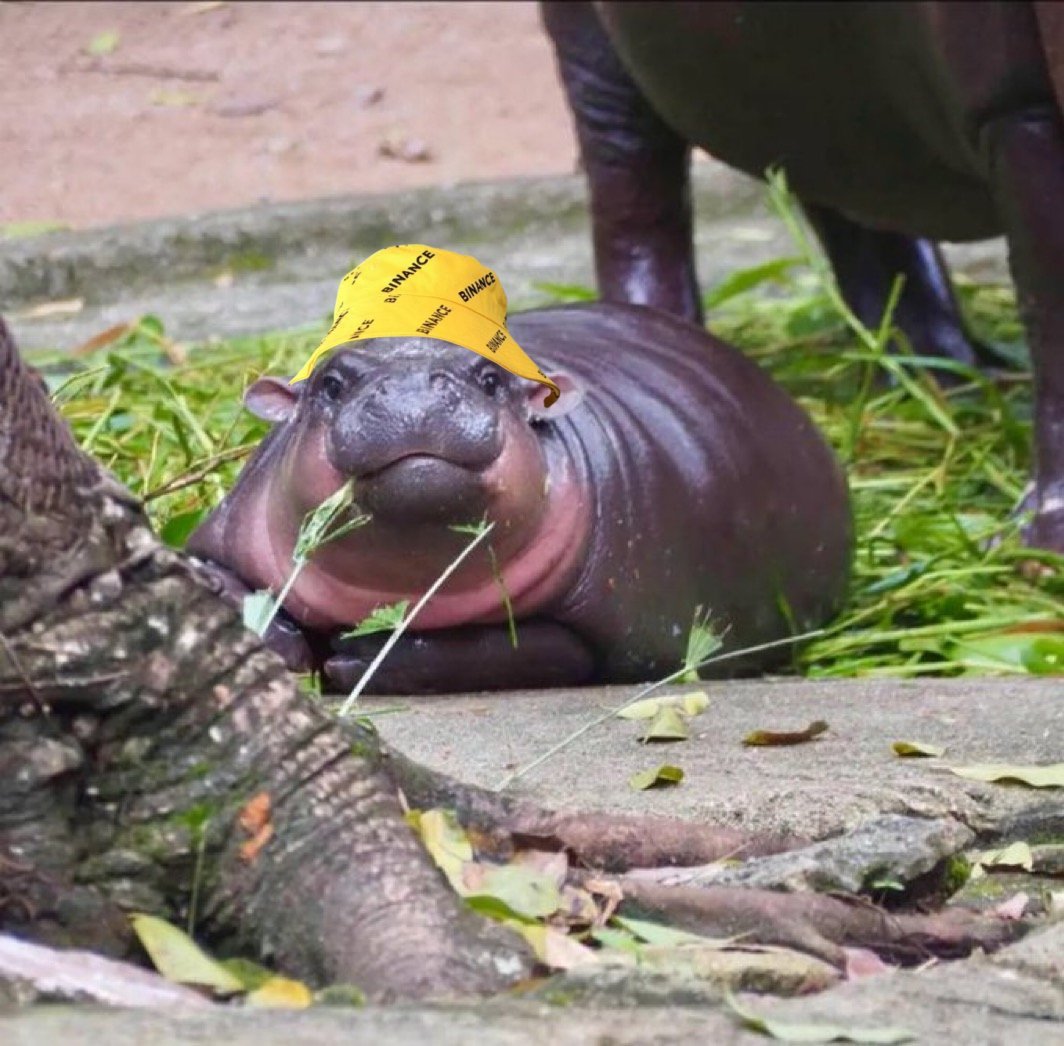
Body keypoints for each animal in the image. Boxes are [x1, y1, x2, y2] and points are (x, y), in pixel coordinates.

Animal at [187, 302, 851, 693]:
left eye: (489, 377)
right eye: (329, 382)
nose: (411, 388)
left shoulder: (610, 627)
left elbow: (508, 647)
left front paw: (354, 656)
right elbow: (224, 585)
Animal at [544, 2, 1064, 549]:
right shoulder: (1021, 110)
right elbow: (1053, 308)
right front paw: (1041, 545)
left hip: (827, 104)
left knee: (856, 207)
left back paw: (948, 379)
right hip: (594, 53)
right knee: (633, 192)